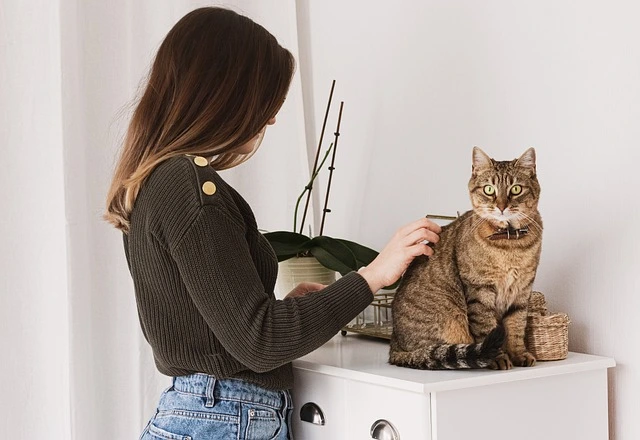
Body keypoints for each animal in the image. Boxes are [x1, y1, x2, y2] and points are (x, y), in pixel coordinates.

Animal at [388, 146, 544, 370]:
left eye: (515, 189)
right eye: (489, 190)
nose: (501, 206)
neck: (510, 245)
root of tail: (393, 347)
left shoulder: (522, 291)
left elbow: (516, 327)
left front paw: (519, 354)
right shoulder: (480, 290)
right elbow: (486, 328)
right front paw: (497, 358)